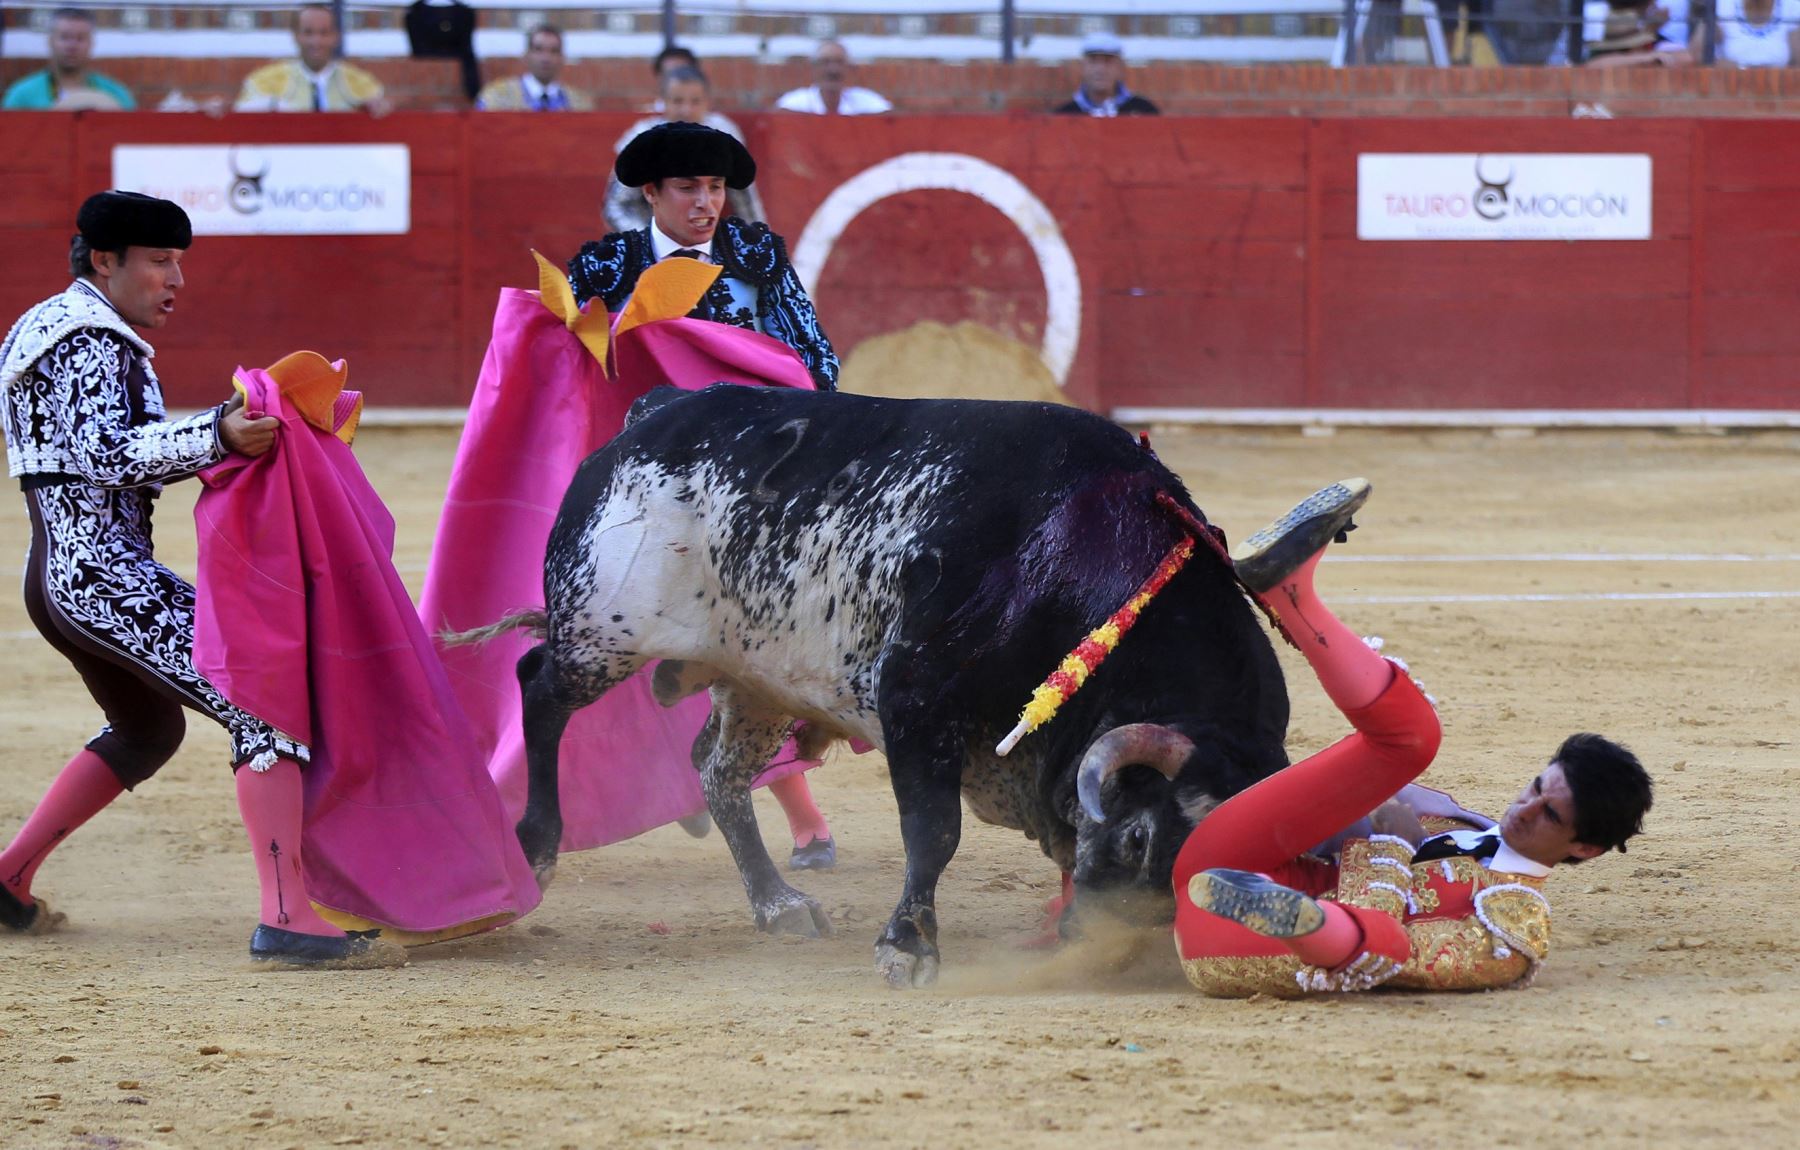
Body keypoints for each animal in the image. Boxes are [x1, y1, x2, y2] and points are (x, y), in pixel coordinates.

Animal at [514, 386, 1288, 993]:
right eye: (1137, 839)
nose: (1103, 945)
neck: (1073, 552)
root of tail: (653, 412)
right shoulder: (915, 694)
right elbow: (933, 830)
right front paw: (907, 947)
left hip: (757, 681)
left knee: (717, 773)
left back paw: (778, 905)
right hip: (600, 630)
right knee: (539, 691)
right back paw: (536, 849)